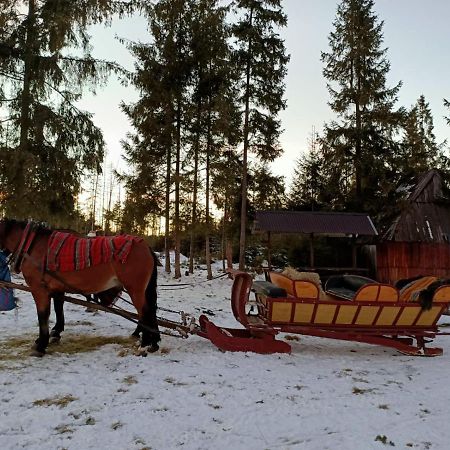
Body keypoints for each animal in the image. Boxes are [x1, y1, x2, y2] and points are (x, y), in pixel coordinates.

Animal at [0, 220, 160, 356]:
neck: (32, 245)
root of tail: (145, 246)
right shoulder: (57, 288)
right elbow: (58, 310)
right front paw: (53, 334)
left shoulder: (39, 290)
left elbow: (43, 315)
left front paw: (41, 345)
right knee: (150, 311)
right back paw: (153, 342)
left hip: (135, 289)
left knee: (145, 312)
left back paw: (144, 344)